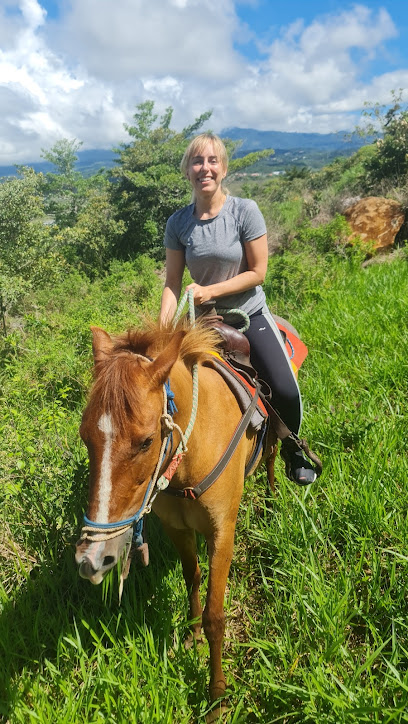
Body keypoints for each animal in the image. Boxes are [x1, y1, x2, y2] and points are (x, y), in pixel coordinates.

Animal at [75, 320, 276, 720]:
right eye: (85, 437)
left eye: (145, 441)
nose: (92, 560)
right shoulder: (177, 529)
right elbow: (191, 577)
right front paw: (192, 634)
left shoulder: (222, 533)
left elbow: (217, 617)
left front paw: (216, 697)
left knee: (276, 452)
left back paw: (277, 495)